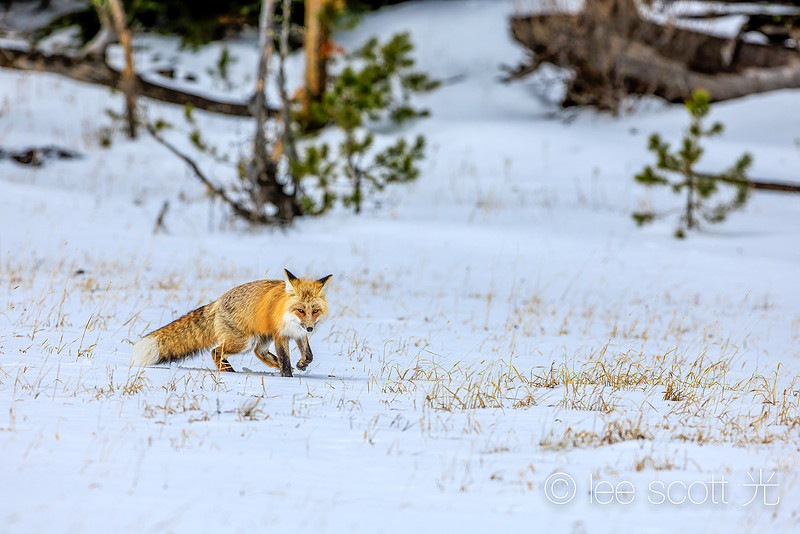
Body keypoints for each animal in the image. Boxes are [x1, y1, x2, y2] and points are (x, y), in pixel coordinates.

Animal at [131, 269, 332, 377]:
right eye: (300, 310)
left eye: (315, 310)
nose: (310, 327)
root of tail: (218, 301)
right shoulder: (280, 334)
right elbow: (285, 358)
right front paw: (288, 378)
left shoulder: (298, 333)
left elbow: (308, 355)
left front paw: (301, 365)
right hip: (243, 342)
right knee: (216, 351)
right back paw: (228, 370)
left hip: (260, 337)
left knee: (259, 352)